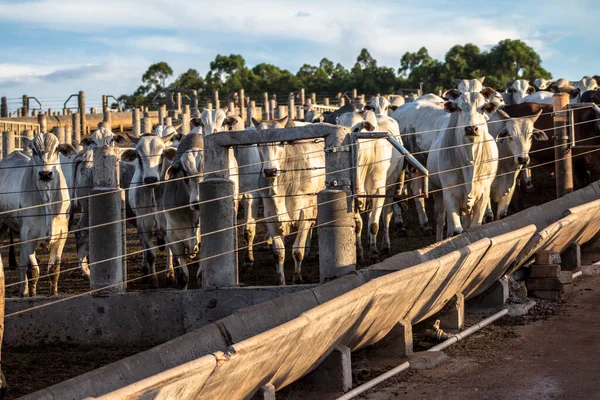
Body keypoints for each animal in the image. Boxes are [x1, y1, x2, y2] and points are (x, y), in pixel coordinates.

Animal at [0, 133, 77, 296]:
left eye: (57, 149)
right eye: (34, 150)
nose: (45, 174)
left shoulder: (62, 235)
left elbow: (54, 270)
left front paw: (53, 294)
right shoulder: (28, 236)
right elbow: (33, 272)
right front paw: (33, 296)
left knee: (22, 263)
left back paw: (23, 291)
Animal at [252, 115, 326, 284]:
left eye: (281, 141)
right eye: (258, 143)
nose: (270, 170)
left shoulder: (304, 212)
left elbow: (297, 250)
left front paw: (297, 278)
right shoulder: (270, 215)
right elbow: (278, 253)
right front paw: (280, 281)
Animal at [428, 92, 500, 241]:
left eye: (483, 108)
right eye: (459, 108)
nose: (471, 128)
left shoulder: (483, 194)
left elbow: (474, 226)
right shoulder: (449, 193)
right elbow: (456, 229)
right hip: (437, 190)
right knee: (440, 219)